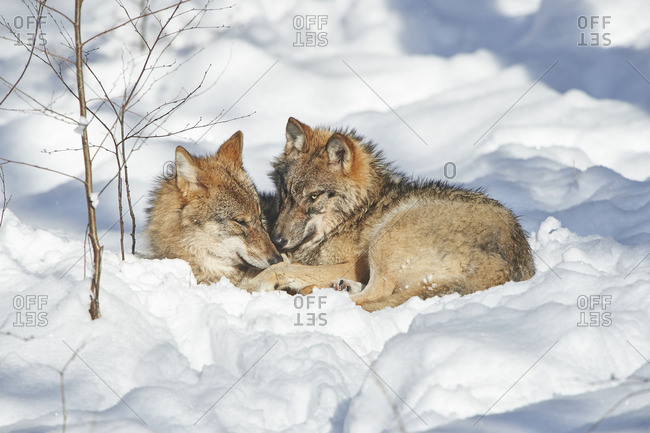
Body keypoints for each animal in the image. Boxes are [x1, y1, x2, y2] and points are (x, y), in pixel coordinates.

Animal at [246, 116, 536, 308]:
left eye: (314, 196)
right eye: (286, 192)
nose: (277, 240)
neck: (357, 213)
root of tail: (512, 258)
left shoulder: (353, 264)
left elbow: (282, 267)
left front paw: (255, 284)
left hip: (386, 235)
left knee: (377, 292)